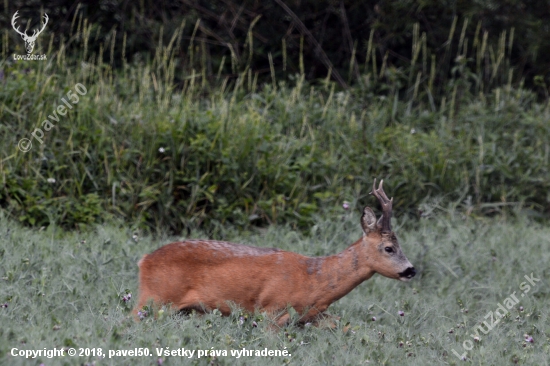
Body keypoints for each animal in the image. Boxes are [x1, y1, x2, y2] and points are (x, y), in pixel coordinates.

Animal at [136, 180, 416, 326]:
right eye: (389, 248)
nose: (411, 270)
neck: (315, 282)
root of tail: (144, 260)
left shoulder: (314, 316)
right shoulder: (271, 310)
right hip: (155, 298)